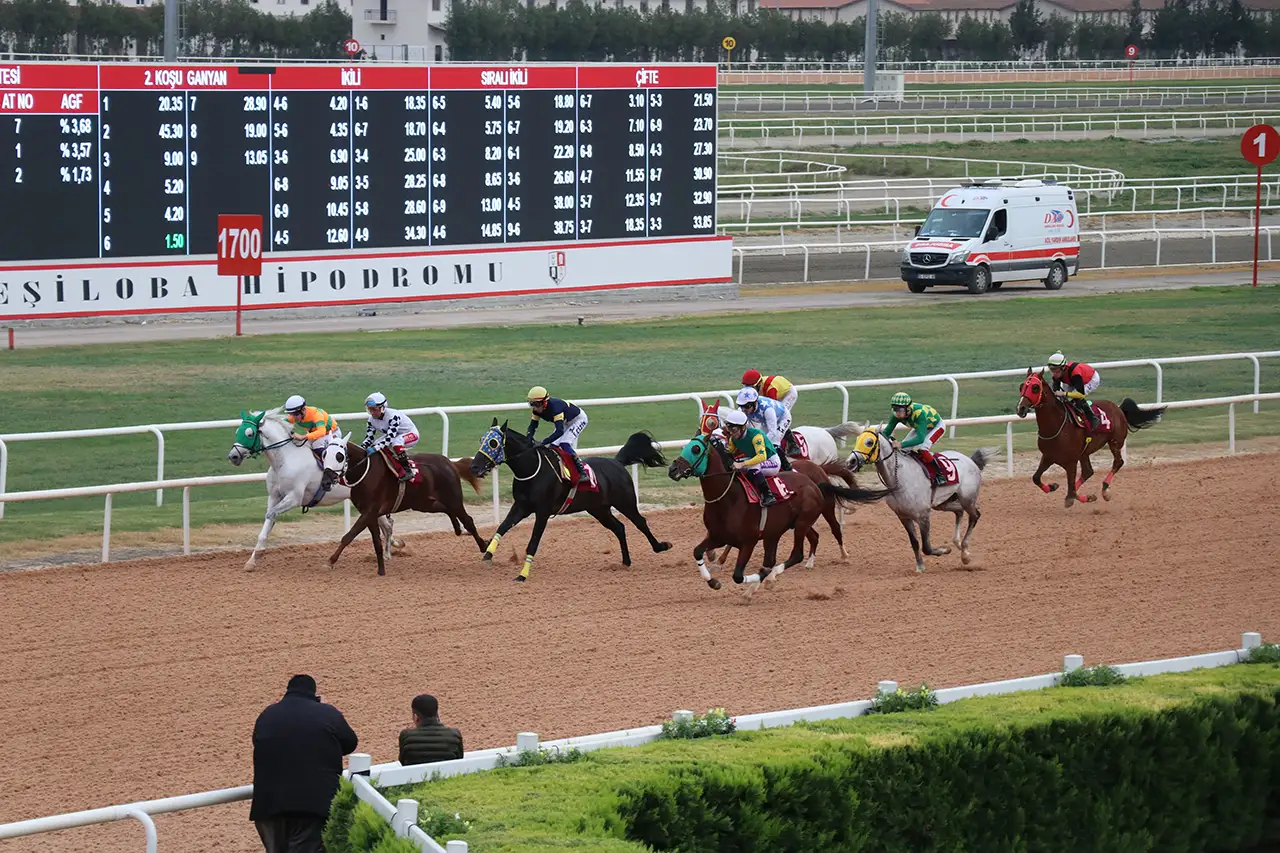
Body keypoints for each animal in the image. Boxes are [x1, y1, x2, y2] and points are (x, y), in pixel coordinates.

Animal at [225, 407, 394, 568]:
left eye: (249, 433)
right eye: (237, 431)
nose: (233, 456)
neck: (285, 460)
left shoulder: (294, 498)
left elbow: (271, 514)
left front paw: (258, 554)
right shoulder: (274, 496)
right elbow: (268, 520)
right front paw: (251, 561)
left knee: (387, 525)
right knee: (387, 525)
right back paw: (391, 550)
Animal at [468, 422, 670, 581]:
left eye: (493, 443)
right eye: (481, 440)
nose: (474, 467)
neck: (532, 470)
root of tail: (617, 462)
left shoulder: (542, 512)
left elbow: (533, 543)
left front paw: (522, 575)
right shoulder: (521, 506)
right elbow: (502, 527)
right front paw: (488, 554)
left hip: (625, 502)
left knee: (640, 522)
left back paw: (661, 546)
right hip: (599, 509)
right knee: (619, 528)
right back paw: (626, 561)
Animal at [849, 425, 998, 571]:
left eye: (869, 442)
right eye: (856, 439)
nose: (850, 461)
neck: (900, 478)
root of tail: (970, 460)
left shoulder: (923, 515)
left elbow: (927, 547)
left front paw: (945, 550)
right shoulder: (903, 516)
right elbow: (914, 542)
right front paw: (920, 566)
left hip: (967, 499)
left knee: (974, 516)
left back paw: (965, 554)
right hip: (943, 503)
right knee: (959, 511)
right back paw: (958, 543)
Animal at [1013, 371, 1167, 504]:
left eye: (1035, 387)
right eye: (1021, 386)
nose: (1021, 408)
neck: (1056, 425)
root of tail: (1119, 408)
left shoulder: (1071, 461)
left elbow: (1071, 489)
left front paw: (1083, 497)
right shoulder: (1048, 456)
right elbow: (1036, 478)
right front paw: (1053, 487)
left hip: (1115, 442)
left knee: (1118, 462)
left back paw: (1105, 490)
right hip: (1085, 452)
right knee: (1088, 471)